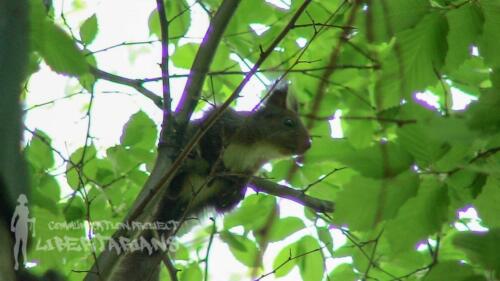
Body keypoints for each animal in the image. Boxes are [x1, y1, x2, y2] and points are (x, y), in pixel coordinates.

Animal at [89, 83, 308, 280]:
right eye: (288, 122)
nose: (308, 144)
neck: (259, 148)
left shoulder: (251, 167)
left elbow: (245, 177)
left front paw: (239, 187)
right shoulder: (221, 122)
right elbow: (210, 142)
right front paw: (214, 162)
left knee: (219, 205)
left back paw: (229, 198)